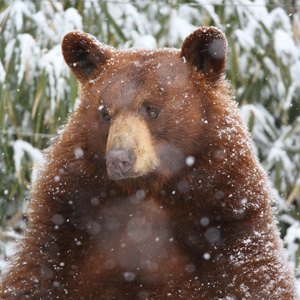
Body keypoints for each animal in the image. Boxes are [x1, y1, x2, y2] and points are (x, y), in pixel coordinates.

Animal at [0, 27, 298, 298]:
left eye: (152, 109)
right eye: (105, 112)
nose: (119, 159)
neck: (147, 191)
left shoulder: (230, 224)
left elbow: (255, 279)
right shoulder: (66, 223)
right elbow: (34, 277)